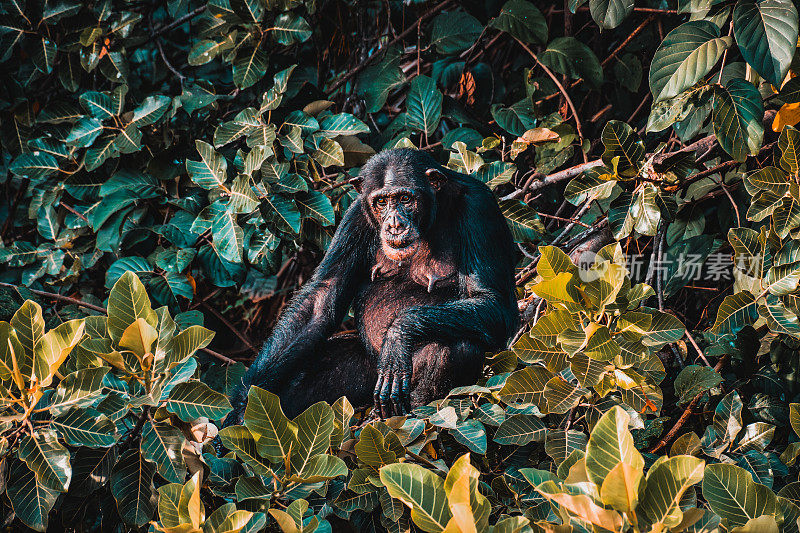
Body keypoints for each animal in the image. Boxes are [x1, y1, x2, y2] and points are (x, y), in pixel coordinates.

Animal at [228, 149, 520, 420]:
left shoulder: (479, 208)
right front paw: (242, 410)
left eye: (405, 199)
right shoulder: (355, 215)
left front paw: (398, 335)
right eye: (381, 202)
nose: (394, 223)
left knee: (458, 349)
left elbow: (491, 301)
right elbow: (321, 301)